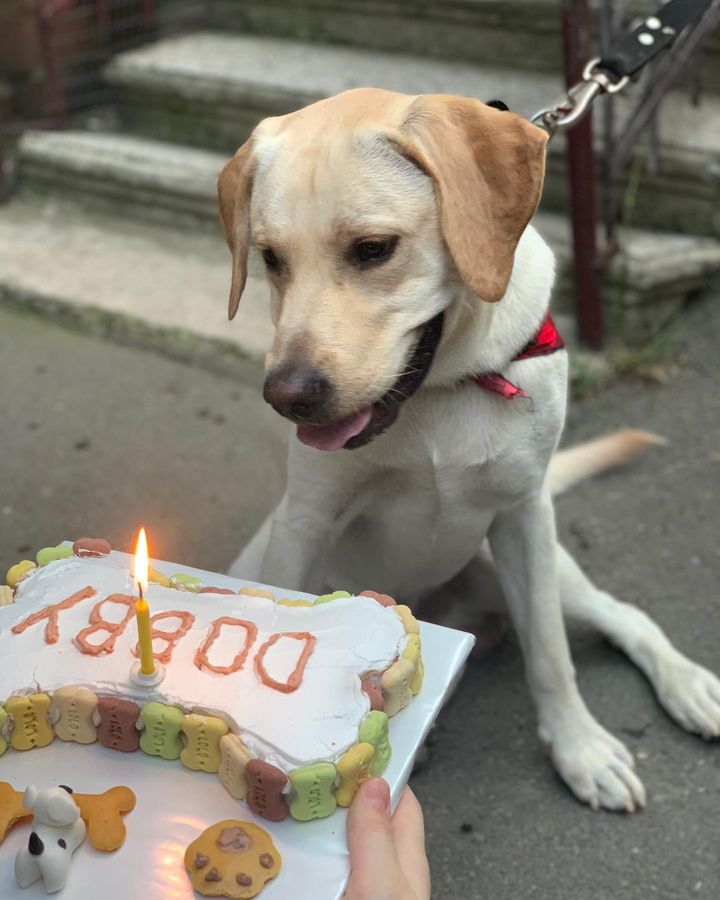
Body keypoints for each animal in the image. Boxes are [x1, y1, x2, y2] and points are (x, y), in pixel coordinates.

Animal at [219, 89, 720, 816]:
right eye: (270, 258)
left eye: (373, 249)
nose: (289, 397)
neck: (439, 389)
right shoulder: (304, 524)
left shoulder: (526, 516)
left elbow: (552, 655)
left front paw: (580, 750)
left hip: (536, 566)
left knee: (624, 617)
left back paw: (686, 686)